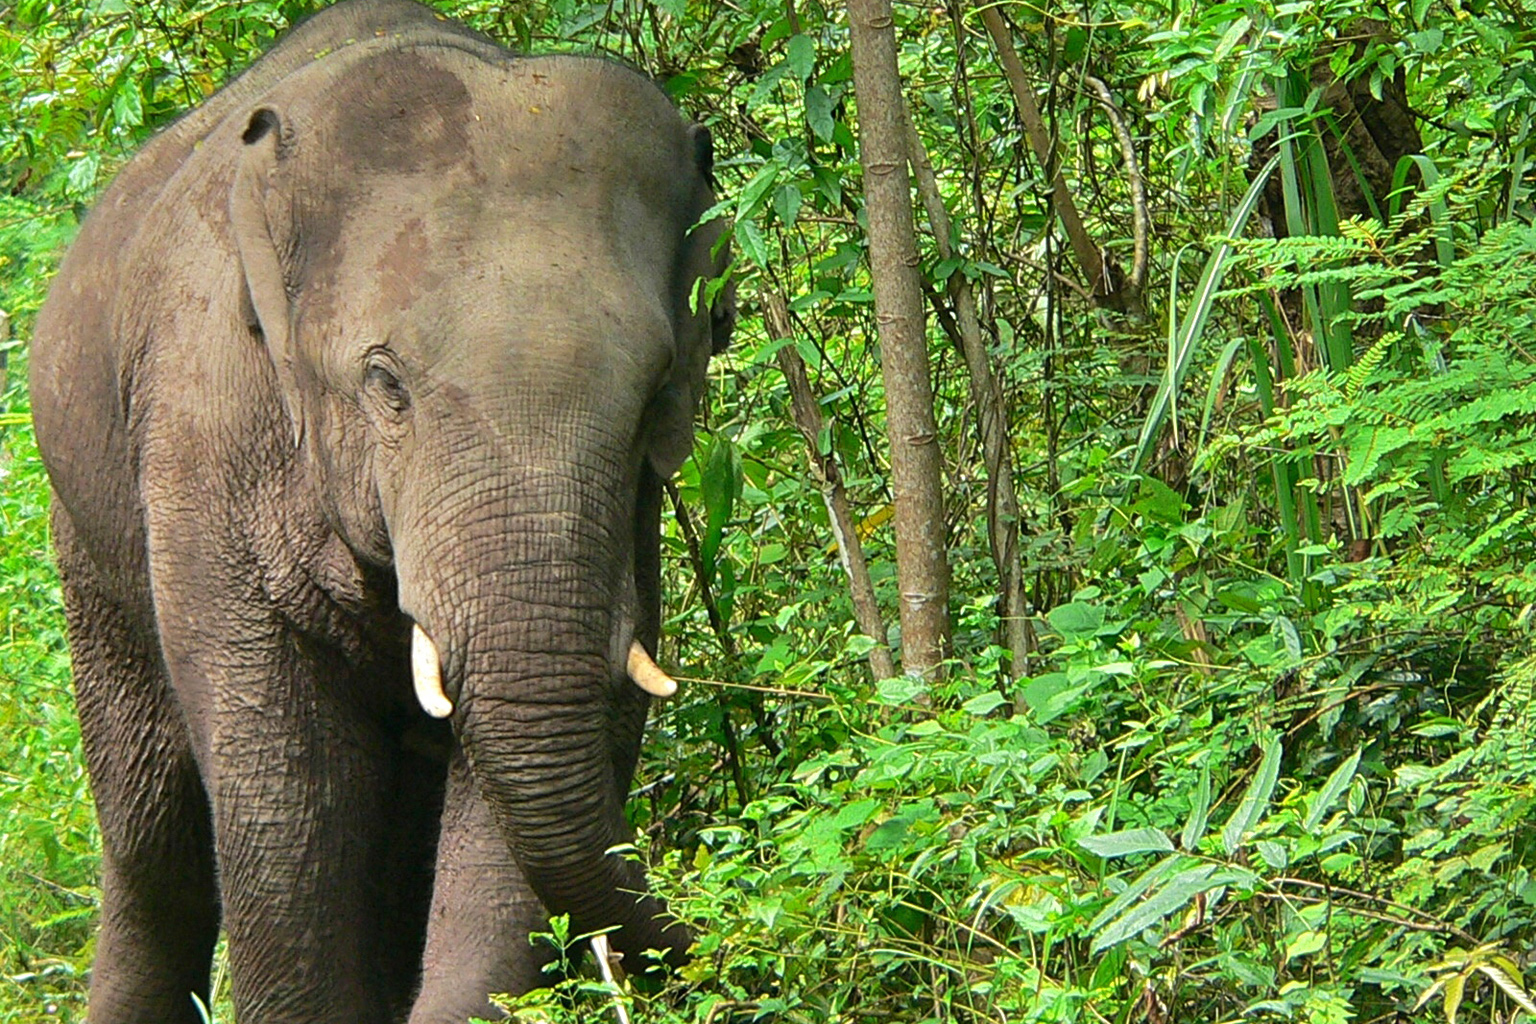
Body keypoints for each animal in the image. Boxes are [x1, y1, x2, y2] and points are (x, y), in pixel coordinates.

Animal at [28, 4, 737, 1019]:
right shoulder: (200, 431)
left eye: (653, 397)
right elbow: (286, 778)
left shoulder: (629, 509)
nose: (703, 941)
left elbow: (571, 730)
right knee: (152, 836)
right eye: (386, 384)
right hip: (87, 538)